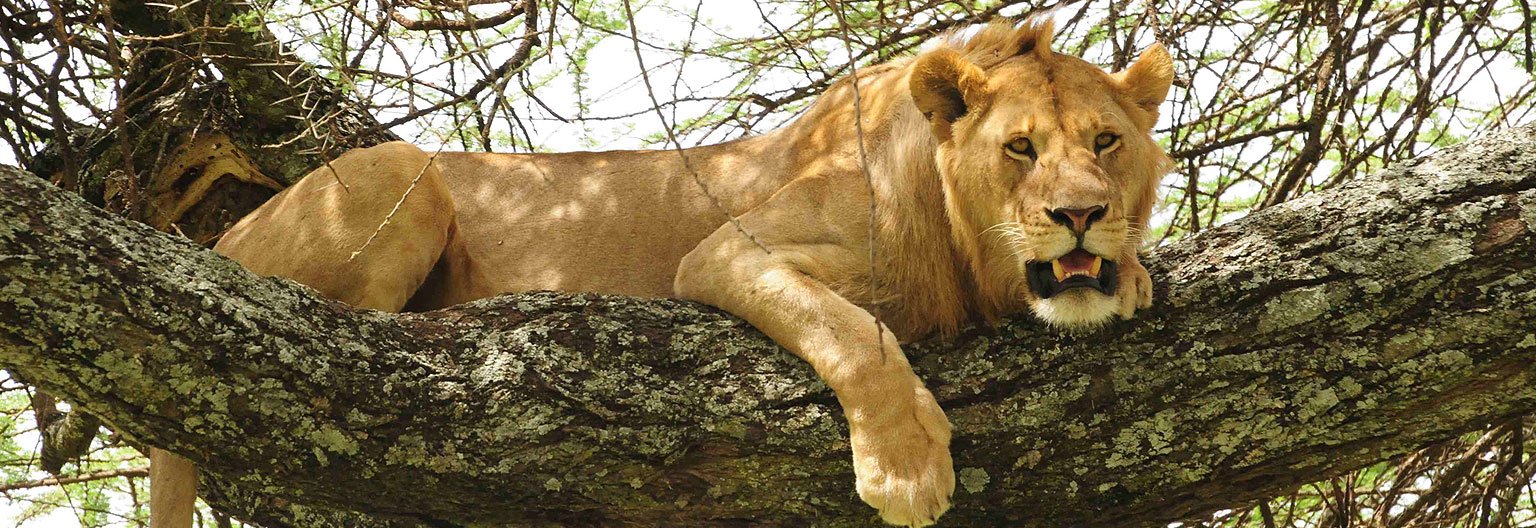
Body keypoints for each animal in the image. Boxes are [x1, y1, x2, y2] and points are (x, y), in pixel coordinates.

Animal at [148, 19, 1172, 528]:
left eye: (1106, 143)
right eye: (1019, 148)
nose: (1079, 215)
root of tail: (215, 246)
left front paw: (1128, 271)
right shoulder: (723, 251)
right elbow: (856, 332)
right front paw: (907, 467)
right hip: (405, 172)